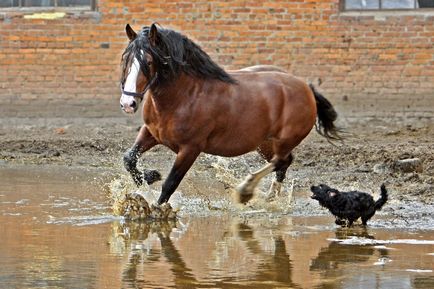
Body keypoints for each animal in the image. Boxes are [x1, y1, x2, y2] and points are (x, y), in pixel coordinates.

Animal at [120, 23, 340, 205]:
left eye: (148, 62)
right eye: (126, 59)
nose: (128, 104)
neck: (184, 96)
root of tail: (307, 88)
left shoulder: (190, 148)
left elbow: (170, 184)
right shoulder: (151, 132)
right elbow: (129, 159)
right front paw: (150, 176)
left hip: (285, 139)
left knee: (281, 161)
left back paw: (246, 191)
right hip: (264, 143)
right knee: (283, 163)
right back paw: (269, 198)